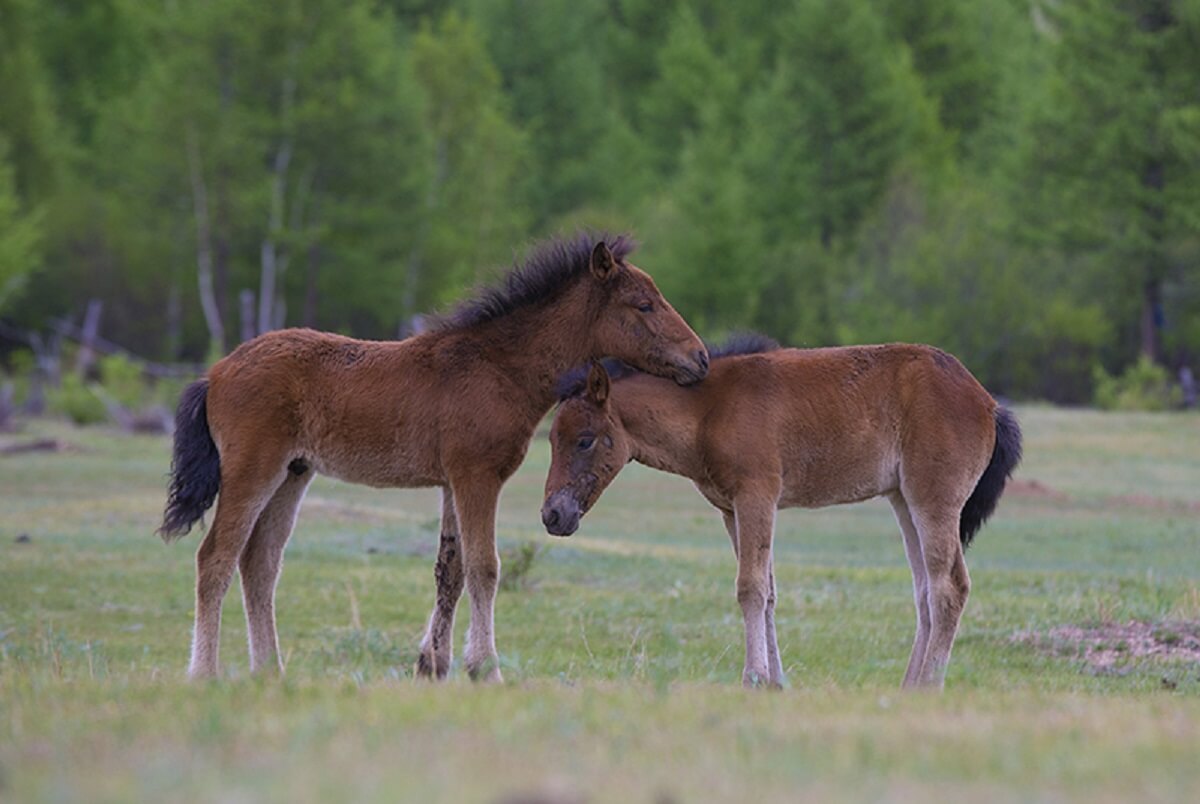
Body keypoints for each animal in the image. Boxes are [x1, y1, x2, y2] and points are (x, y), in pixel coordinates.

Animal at [159, 234, 709, 681]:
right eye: (643, 305)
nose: (700, 358)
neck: (500, 368)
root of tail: (216, 372)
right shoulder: (477, 475)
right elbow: (485, 567)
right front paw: (485, 668)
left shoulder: (452, 480)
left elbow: (452, 570)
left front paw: (433, 666)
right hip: (252, 468)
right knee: (216, 557)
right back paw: (204, 673)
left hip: (293, 473)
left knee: (260, 562)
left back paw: (270, 671)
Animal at [541, 334, 1021, 689]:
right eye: (551, 438)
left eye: (584, 439)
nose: (552, 515)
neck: (709, 411)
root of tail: (988, 403)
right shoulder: (730, 509)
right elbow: (767, 591)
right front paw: (776, 682)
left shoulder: (757, 495)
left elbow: (750, 587)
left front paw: (753, 677)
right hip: (905, 501)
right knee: (925, 591)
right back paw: (908, 686)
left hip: (934, 499)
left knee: (950, 587)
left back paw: (929, 685)